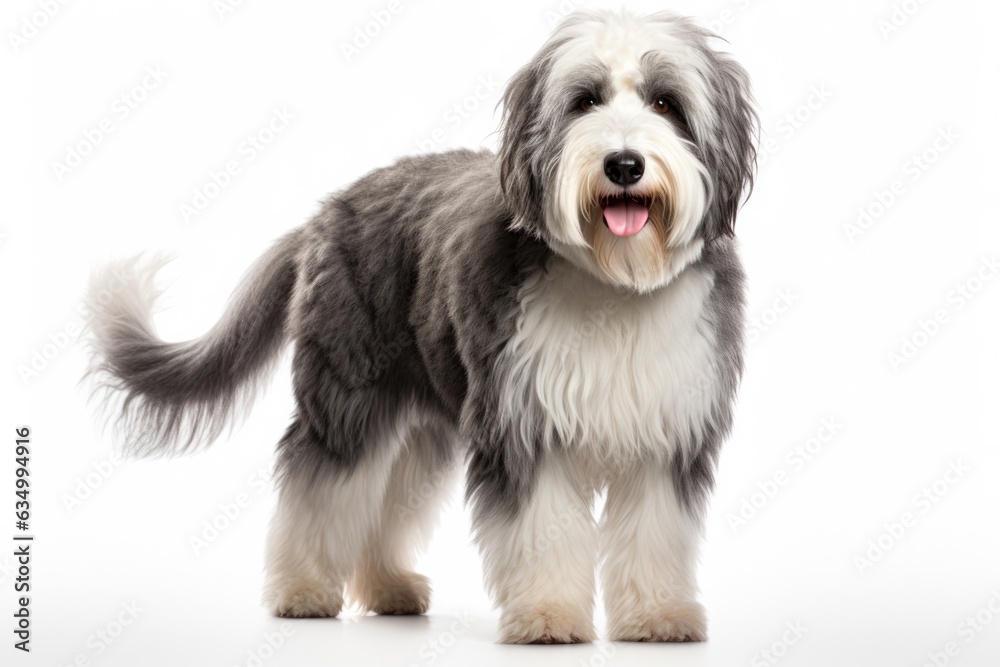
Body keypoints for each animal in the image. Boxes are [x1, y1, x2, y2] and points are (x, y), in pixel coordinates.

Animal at [86, 9, 756, 648]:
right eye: (585, 100)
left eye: (666, 103)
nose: (624, 164)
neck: (613, 284)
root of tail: (325, 212)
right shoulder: (521, 422)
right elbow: (538, 527)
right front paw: (546, 615)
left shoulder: (669, 431)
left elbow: (655, 533)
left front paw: (658, 617)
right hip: (348, 394)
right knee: (320, 486)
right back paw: (302, 590)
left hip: (422, 420)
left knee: (386, 505)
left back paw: (388, 587)